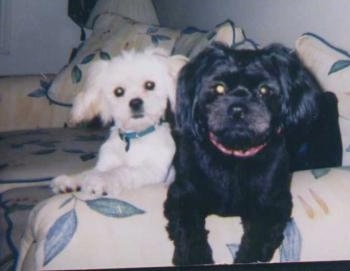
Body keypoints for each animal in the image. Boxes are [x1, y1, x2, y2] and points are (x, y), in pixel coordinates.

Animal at [50, 49, 187, 197]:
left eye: (150, 85)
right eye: (118, 91)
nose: (135, 102)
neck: (135, 138)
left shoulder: (153, 170)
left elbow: (120, 171)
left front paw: (100, 180)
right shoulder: (106, 163)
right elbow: (90, 172)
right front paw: (70, 180)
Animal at [164, 43, 340, 266]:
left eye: (264, 90)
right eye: (219, 88)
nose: (237, 109)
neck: (235, 156)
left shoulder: (273, 203)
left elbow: (258, 240)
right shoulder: (182, 195)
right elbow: (188, 231)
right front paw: (194, 258)